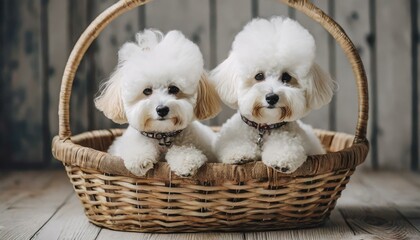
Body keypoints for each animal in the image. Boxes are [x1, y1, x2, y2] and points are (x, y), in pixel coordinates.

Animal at [95, 29, 220, 177]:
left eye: (174, 89)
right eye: (147, 91)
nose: (162, 109)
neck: (162, 136)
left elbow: (184, 150)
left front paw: (186, 161)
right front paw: (139, 158)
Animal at [210, 17, 334, 174]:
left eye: (286, 77)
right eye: (259, 76)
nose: (272, 97)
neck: (264, 128)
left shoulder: (292, 140)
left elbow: (286, 148)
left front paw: (281, 161)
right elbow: (236, 146)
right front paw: (239, 155)